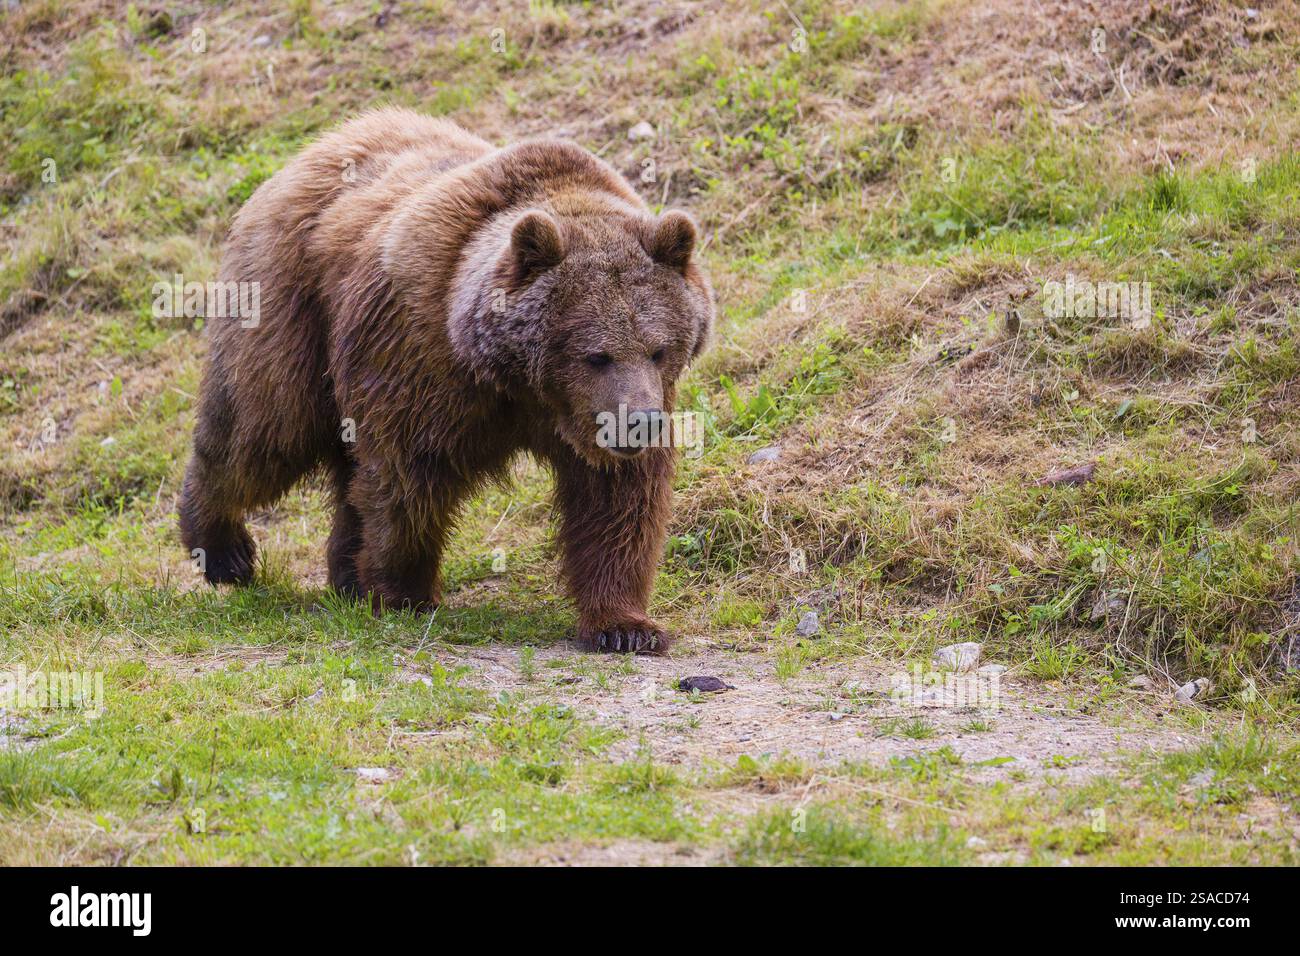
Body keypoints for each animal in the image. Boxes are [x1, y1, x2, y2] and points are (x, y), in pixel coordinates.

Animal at [178, 108, 714, 655]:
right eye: (596, 355)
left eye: (658, 349)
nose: (640, 422)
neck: (517, 382)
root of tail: (320, 144)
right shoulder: (419, 357)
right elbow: (407, 477)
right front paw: (404, 592)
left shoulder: (612, 411)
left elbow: (617, 500)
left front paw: (625, 625)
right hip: (293, 305)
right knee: (264, 430)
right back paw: (223, 550)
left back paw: (344, 576)